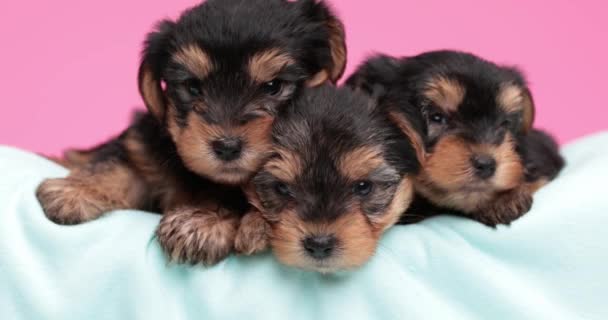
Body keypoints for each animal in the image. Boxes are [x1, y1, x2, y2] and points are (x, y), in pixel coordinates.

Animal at [34, 0, 346, 264]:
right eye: (192, 87)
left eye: (274, 86)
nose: (227, 147)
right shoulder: (147, 146)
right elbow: (118, 165)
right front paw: (76, 190)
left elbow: (230, 197)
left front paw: (200, 221)